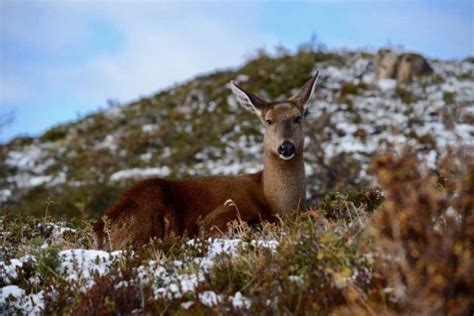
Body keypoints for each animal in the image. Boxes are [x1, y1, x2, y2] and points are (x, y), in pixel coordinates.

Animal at [94, 71, 320, 249]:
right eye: (268, 121)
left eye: (298, 118)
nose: (286, 147)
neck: (276, 202)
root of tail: (99, 230)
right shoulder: (223, 216)